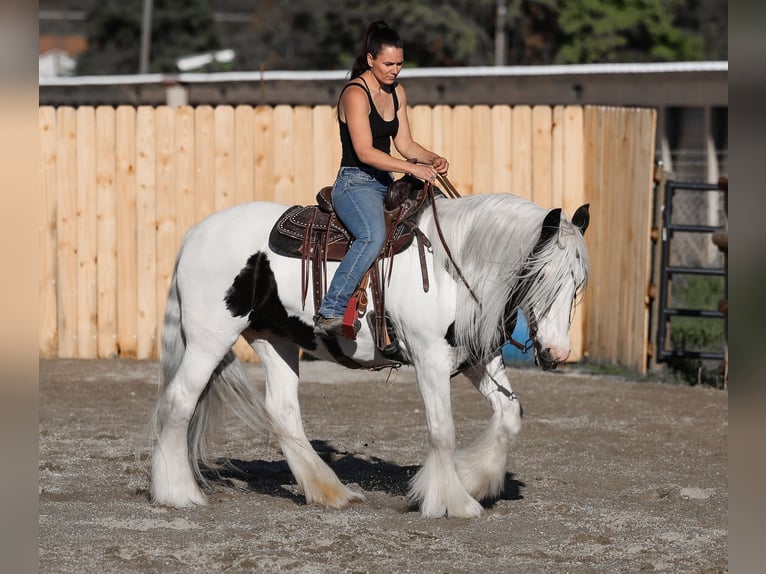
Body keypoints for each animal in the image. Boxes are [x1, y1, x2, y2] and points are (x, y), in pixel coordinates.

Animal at [152, 191, 592, 520]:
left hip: (275, 339)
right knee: (179, 402)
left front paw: (474, 479)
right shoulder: (430, 359)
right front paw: (451, 501)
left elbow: (510, 416)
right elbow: (442, 429)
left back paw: (329, 491)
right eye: (539, 276)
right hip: (210, 339)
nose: (557, 352)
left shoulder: (478, 359)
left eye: (576, 284)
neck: (450, 268)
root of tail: (195, 235)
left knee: (282, 410)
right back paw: (177, 492)